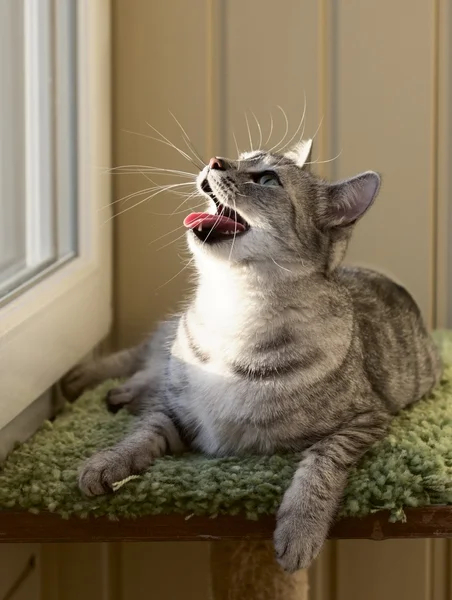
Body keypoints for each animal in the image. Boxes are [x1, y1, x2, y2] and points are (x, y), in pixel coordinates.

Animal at [63, 141, 442, 572]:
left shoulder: (366, 419)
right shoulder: (175, 410)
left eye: (267, 179)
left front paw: (300, 528)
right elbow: (142, 433)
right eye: (243, 157)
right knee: (144, 357)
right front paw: (107, 461)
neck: (234, 307)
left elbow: (320, 464)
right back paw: (94, 383)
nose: (215, 160)